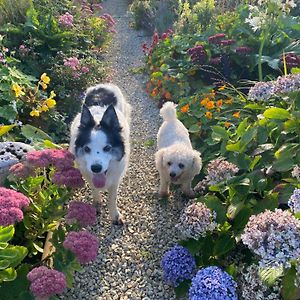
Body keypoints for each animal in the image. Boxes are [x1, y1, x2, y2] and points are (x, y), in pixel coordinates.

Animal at [71, 83, 132, 224]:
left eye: (107, 148)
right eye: (87, 149)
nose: (96, 168)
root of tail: (104, 85)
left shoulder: (116, 178)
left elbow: (113, 197)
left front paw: (115, 215)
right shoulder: (86, 172)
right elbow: (94, 189)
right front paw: (97, 204)